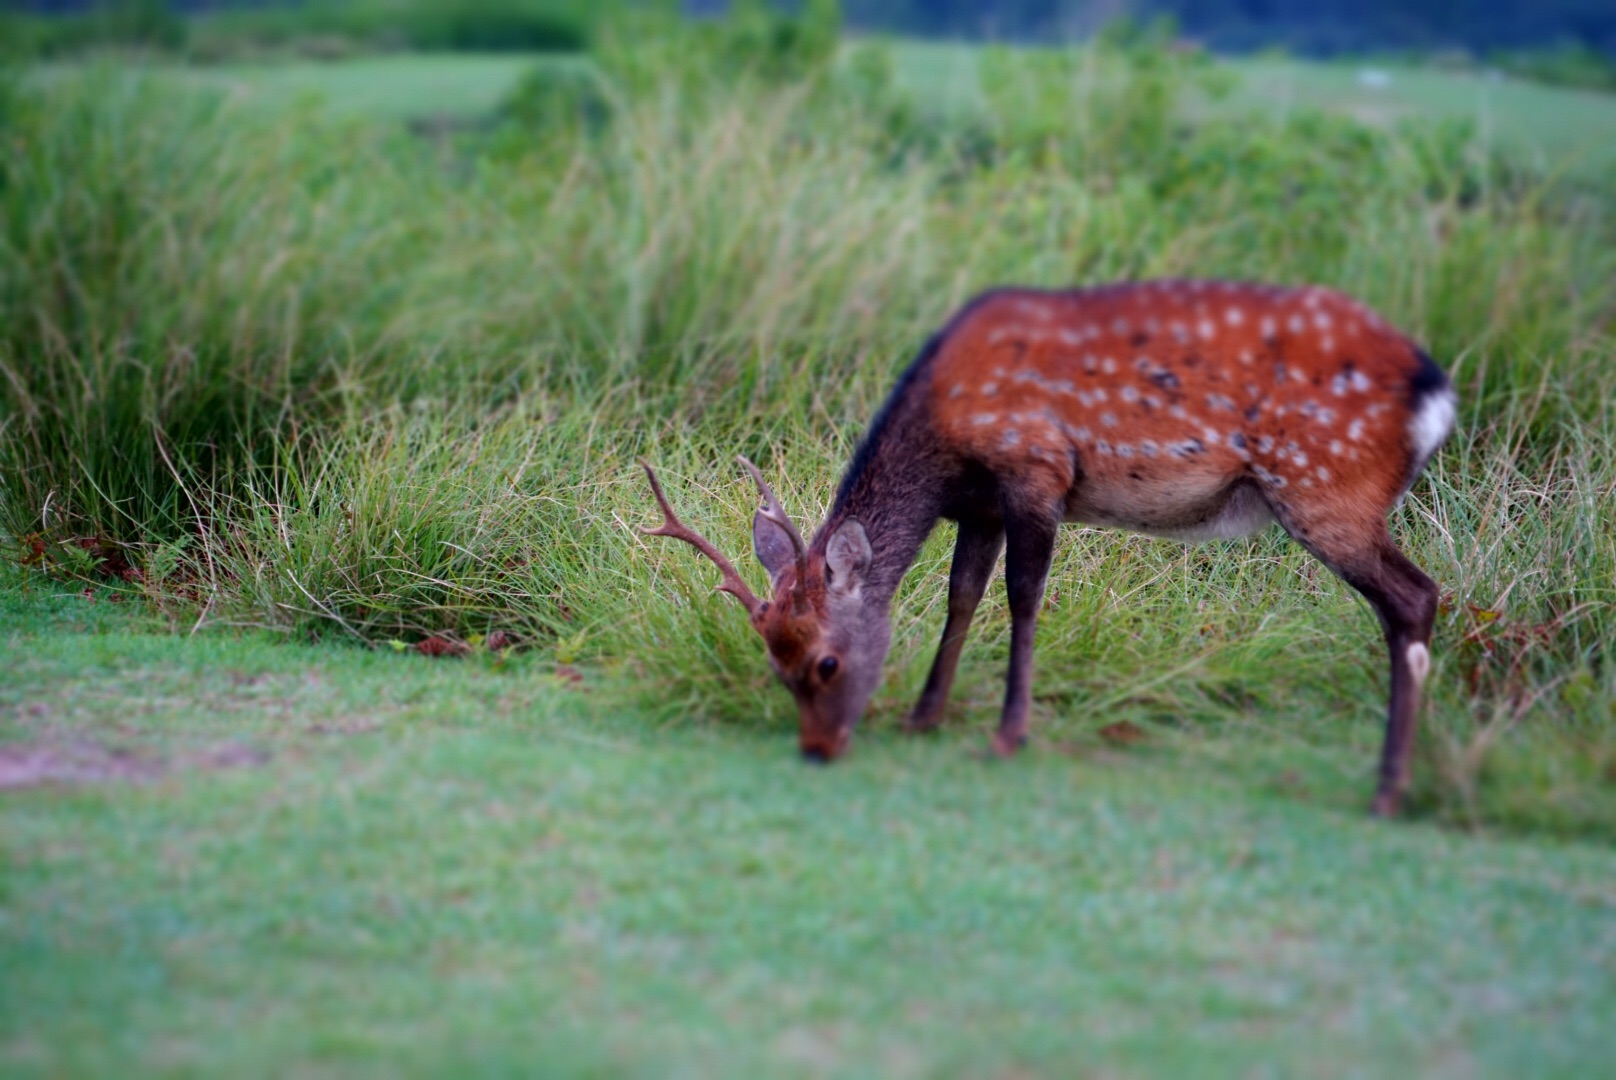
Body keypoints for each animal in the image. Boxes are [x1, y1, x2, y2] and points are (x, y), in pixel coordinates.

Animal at [636, 282, 1460, 814]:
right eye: (774, 664)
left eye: (826, 663)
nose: (817, 749)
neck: (945, 440)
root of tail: (1437, 393)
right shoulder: (981, 505)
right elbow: (961, 597)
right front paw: (924, 718)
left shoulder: (1035, 468)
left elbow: (1023, 599)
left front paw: (1007, 735)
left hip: (1326, 484)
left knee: (1415, 597)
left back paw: (1388, 791)